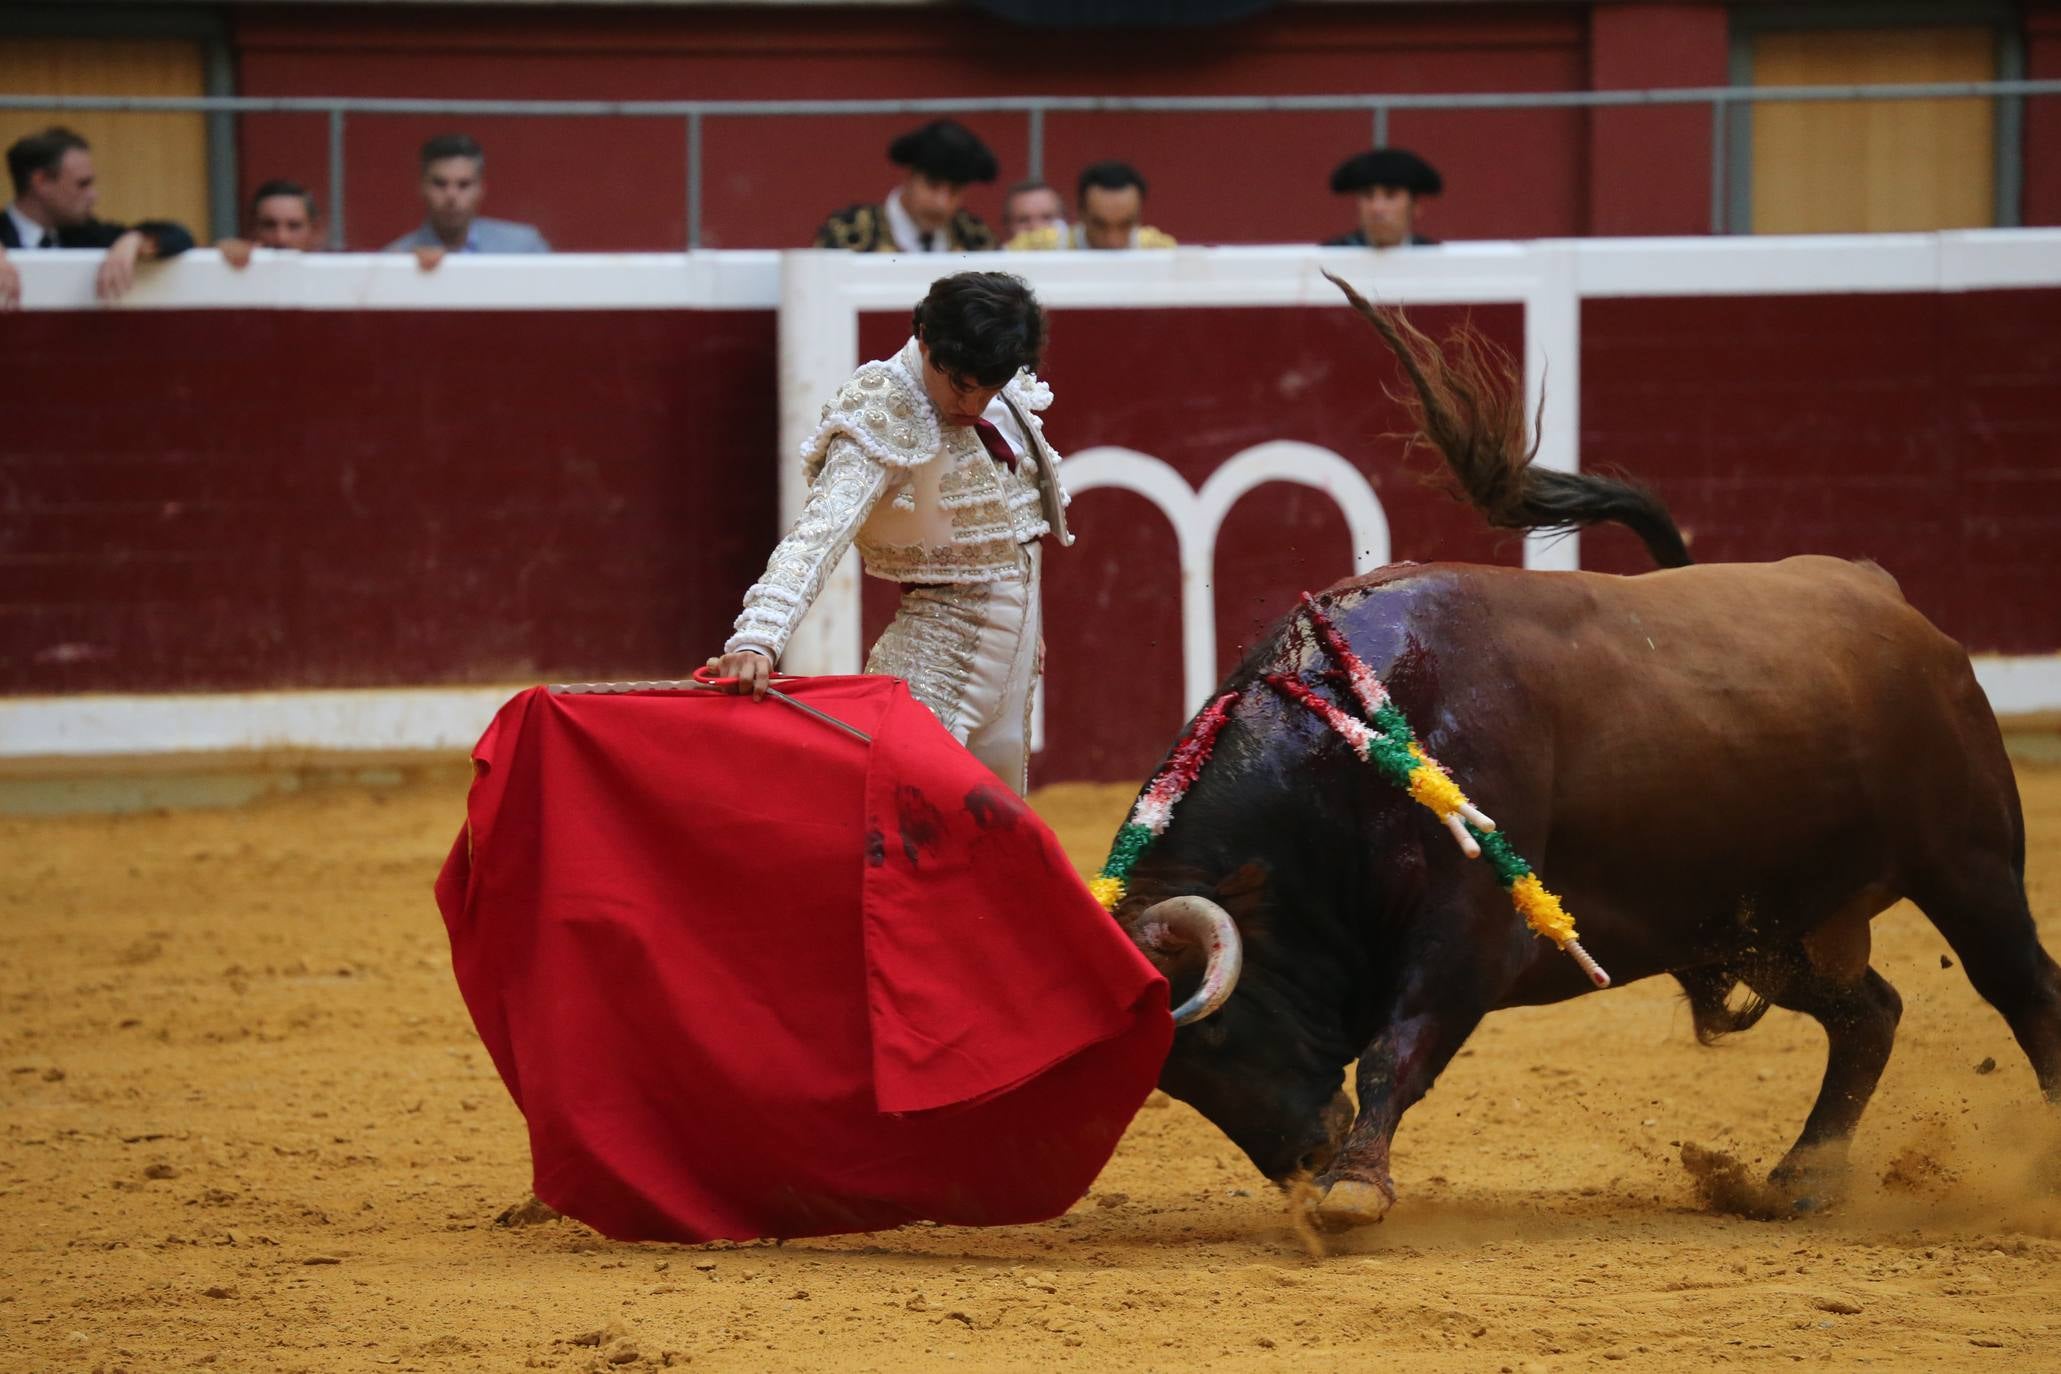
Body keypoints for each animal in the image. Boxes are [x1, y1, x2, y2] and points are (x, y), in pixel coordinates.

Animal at [1121, 276, 2052, 1227]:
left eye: (1215, 1031)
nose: (1302, 1155)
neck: (1341, 753)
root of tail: (1885, 593)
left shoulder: (1468, 937)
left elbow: (1398, 1046)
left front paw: (1353, 1187)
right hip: (1766, 924)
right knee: (1870, 1014)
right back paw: (1798, 1177)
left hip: (1967, 866)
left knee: (2023, 989)